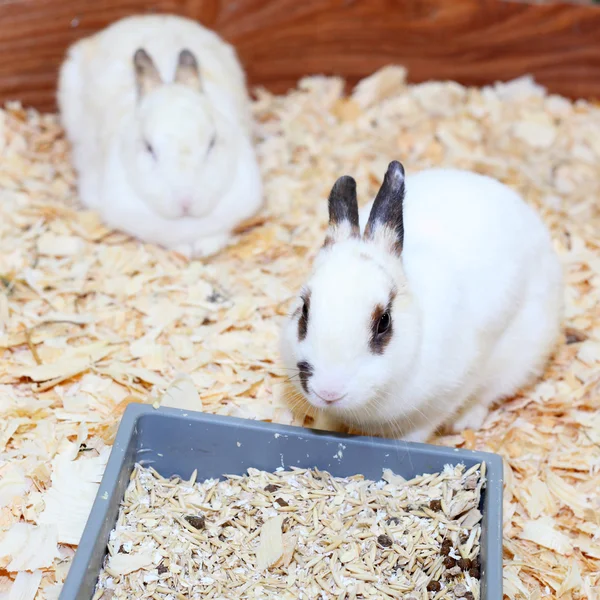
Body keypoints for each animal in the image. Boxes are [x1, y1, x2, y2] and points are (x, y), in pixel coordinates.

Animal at [57, 14, 262, 258]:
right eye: (148, 148)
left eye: (212, 143)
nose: (185, 202)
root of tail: (146, 17)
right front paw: (186, 251)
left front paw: (204, 249)